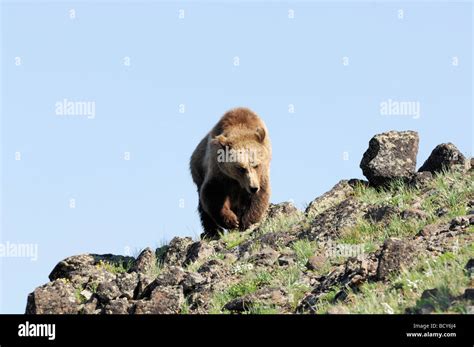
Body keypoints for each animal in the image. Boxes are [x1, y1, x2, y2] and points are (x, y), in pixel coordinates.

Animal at [189, 108, 270, 239]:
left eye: (256, 165)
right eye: (241, 168)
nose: (253, 188)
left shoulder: (261, 176)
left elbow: (259, 197)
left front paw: (246, 221)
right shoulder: (219, 171)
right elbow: (213, 194)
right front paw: (232, 221)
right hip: (198, 171)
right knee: (203, 207)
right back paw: (212, 231)